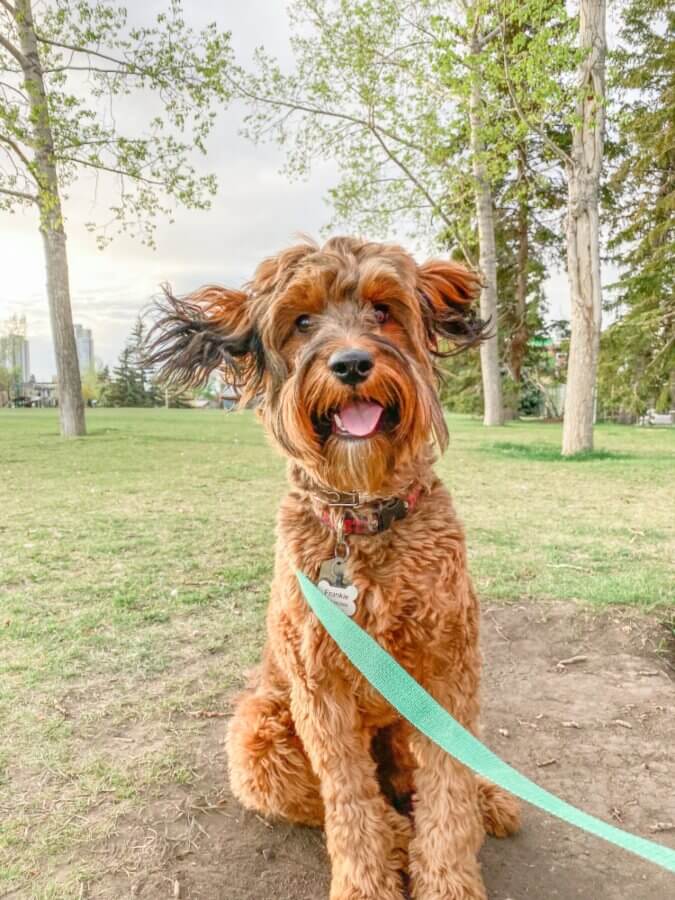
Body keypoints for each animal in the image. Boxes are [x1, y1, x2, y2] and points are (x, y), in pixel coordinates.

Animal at [148, 236, 520, 896]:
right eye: (301, 321)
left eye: (383, 310)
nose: (350, 364)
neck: (362, 520)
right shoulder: (319, 688)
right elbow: (346, 800)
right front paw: (367, 881)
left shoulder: (448, 670)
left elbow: (448, 789)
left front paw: (448, 876)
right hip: (258, 732)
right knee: (330, 802)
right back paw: (395, 835)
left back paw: (485, 800)